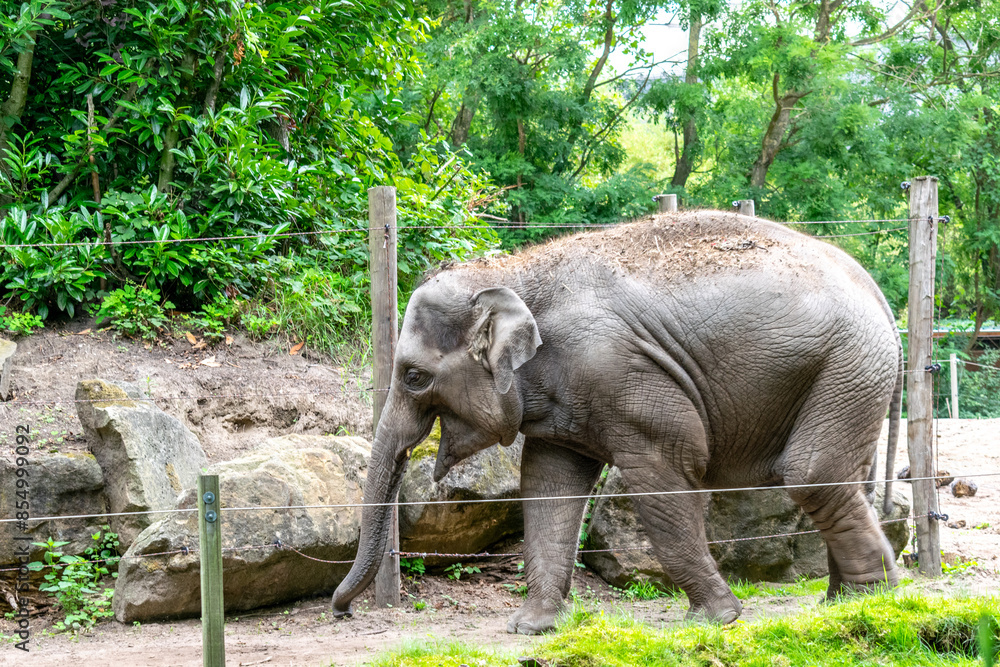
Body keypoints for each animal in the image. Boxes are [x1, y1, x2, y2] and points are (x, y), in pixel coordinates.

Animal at [331, 211, 902, 634]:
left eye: (413, 377)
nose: (344, 612)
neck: (513, 272)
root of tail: (876, 291)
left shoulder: (620, 372)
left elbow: (662, 476)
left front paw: (713, 620)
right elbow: (548, 484)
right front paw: (532, 627)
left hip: (847, 363)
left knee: (810, 473)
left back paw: (871, 599)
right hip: (850, 375)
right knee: (845, 477)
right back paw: (843, 602)